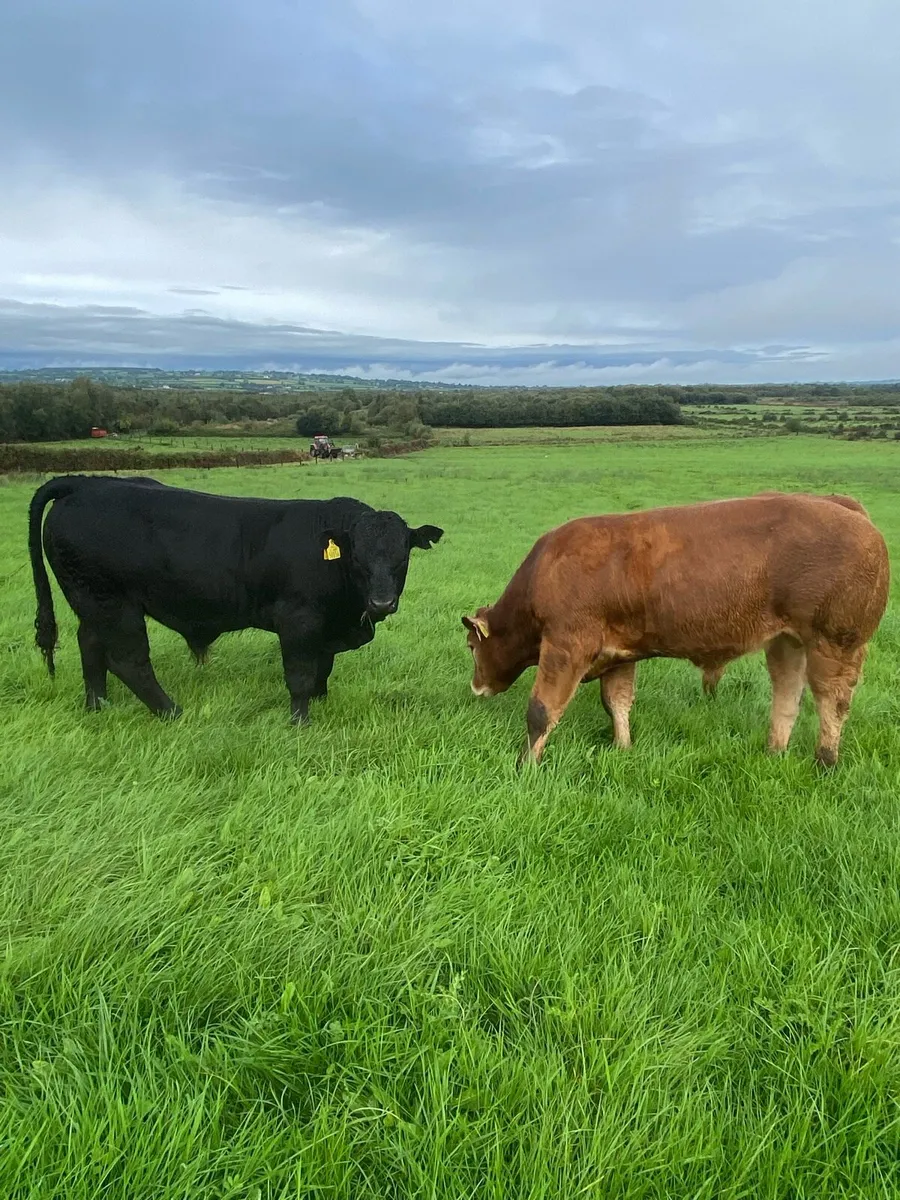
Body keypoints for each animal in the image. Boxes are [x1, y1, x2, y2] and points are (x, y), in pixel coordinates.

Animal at [29, 475, 443, 724]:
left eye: (402, 557)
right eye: (357, 558)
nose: (382, 604)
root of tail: (85, 484)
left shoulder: (324, 629)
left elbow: (322, 670)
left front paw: (321, 702)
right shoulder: (297, 621)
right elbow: (300, 675)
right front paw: (300, 721)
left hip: (90, 601)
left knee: (90, 647)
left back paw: (97, 706)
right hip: (115, 605)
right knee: (129, 662)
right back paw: (172, 712)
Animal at [462, 492, 889, 769]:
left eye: (470, 646)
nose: (475, 687)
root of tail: (844, 506)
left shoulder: (566, 645)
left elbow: (540, 710)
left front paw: (525, 766)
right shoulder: (619, 654)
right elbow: (617, 703)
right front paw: (623, 748)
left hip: (835, 642)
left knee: (832, 702)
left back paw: (825, 761)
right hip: (787, 642)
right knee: (787, 696)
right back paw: (774, 751)